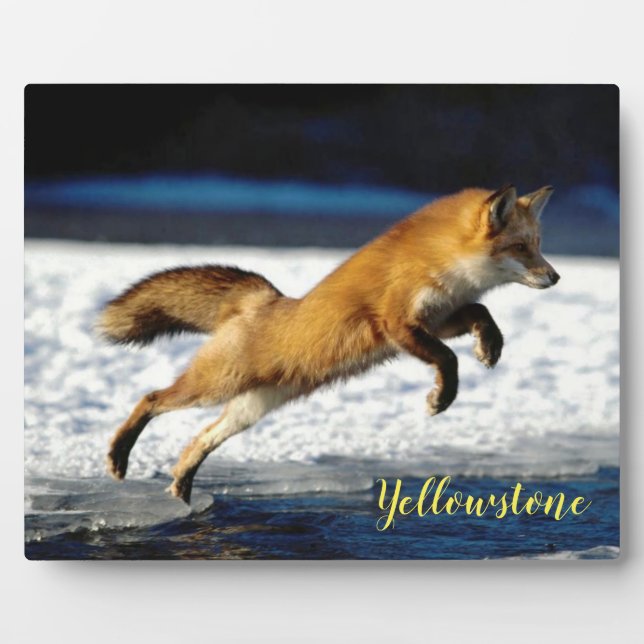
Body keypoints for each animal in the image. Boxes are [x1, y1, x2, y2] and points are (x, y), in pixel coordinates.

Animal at [99, 184, 559, 504]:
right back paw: (119, 456)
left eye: (538, 245)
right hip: (214, 386)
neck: (444, 264)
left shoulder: (440, 318)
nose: (556, 277)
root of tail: (262, 300)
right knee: (151, 398)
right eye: (521, 247)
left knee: (198, 442)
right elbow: (448, 360)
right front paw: (441, 398)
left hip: (249, 409)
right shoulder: (397, 322)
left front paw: (490, 346)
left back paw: (181, 490)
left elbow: (482, 312)